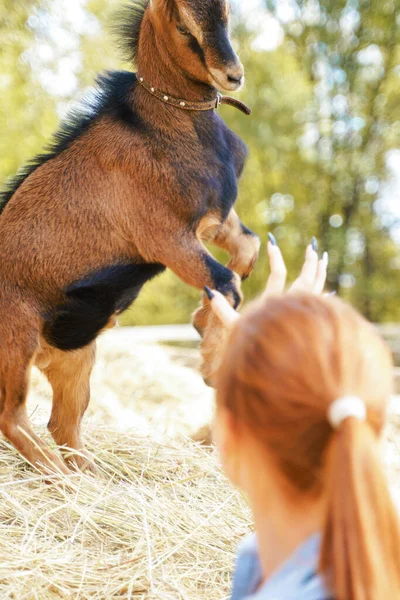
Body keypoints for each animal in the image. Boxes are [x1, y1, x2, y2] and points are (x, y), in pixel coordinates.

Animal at [0, 0, 260, 474]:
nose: (232, 75)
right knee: (12, 417)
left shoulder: (213, 221)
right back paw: (64, 481)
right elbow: (227, 283)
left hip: (74, 357)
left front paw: (202, 322)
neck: (165, 123)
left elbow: (246, 252)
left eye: (228, 12)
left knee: (63, 424)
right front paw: (211, 360)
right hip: (16, 340)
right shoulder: (166, 239)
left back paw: (86, 477)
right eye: (183, 25)